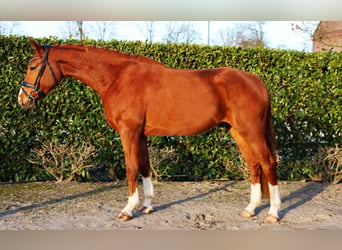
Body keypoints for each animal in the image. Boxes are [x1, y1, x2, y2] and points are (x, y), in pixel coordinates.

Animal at [18, 39, 280, 223]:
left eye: (33, 66)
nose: (22, 99)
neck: (117, 78)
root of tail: (255, 80)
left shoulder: (129, 132)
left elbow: (131, 168)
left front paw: (127, 210)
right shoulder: (141, 134)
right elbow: (145, 167)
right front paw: (147, 206)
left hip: (251, 131)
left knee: (267, 162)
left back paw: (273, 212)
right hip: (237, 131)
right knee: (254, 164)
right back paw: (250, 209)